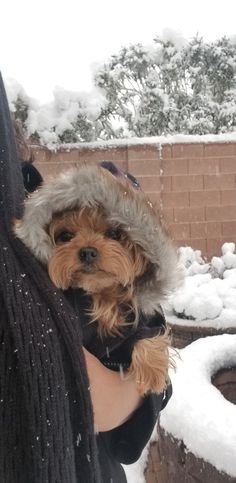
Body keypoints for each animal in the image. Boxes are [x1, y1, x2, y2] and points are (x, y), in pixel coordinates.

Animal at [14, 163, 181, 398]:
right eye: (65, 236)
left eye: (114, 233)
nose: (87, 252)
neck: (100, 293)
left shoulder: (146, 320)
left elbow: (149, 334)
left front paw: (153, 371)